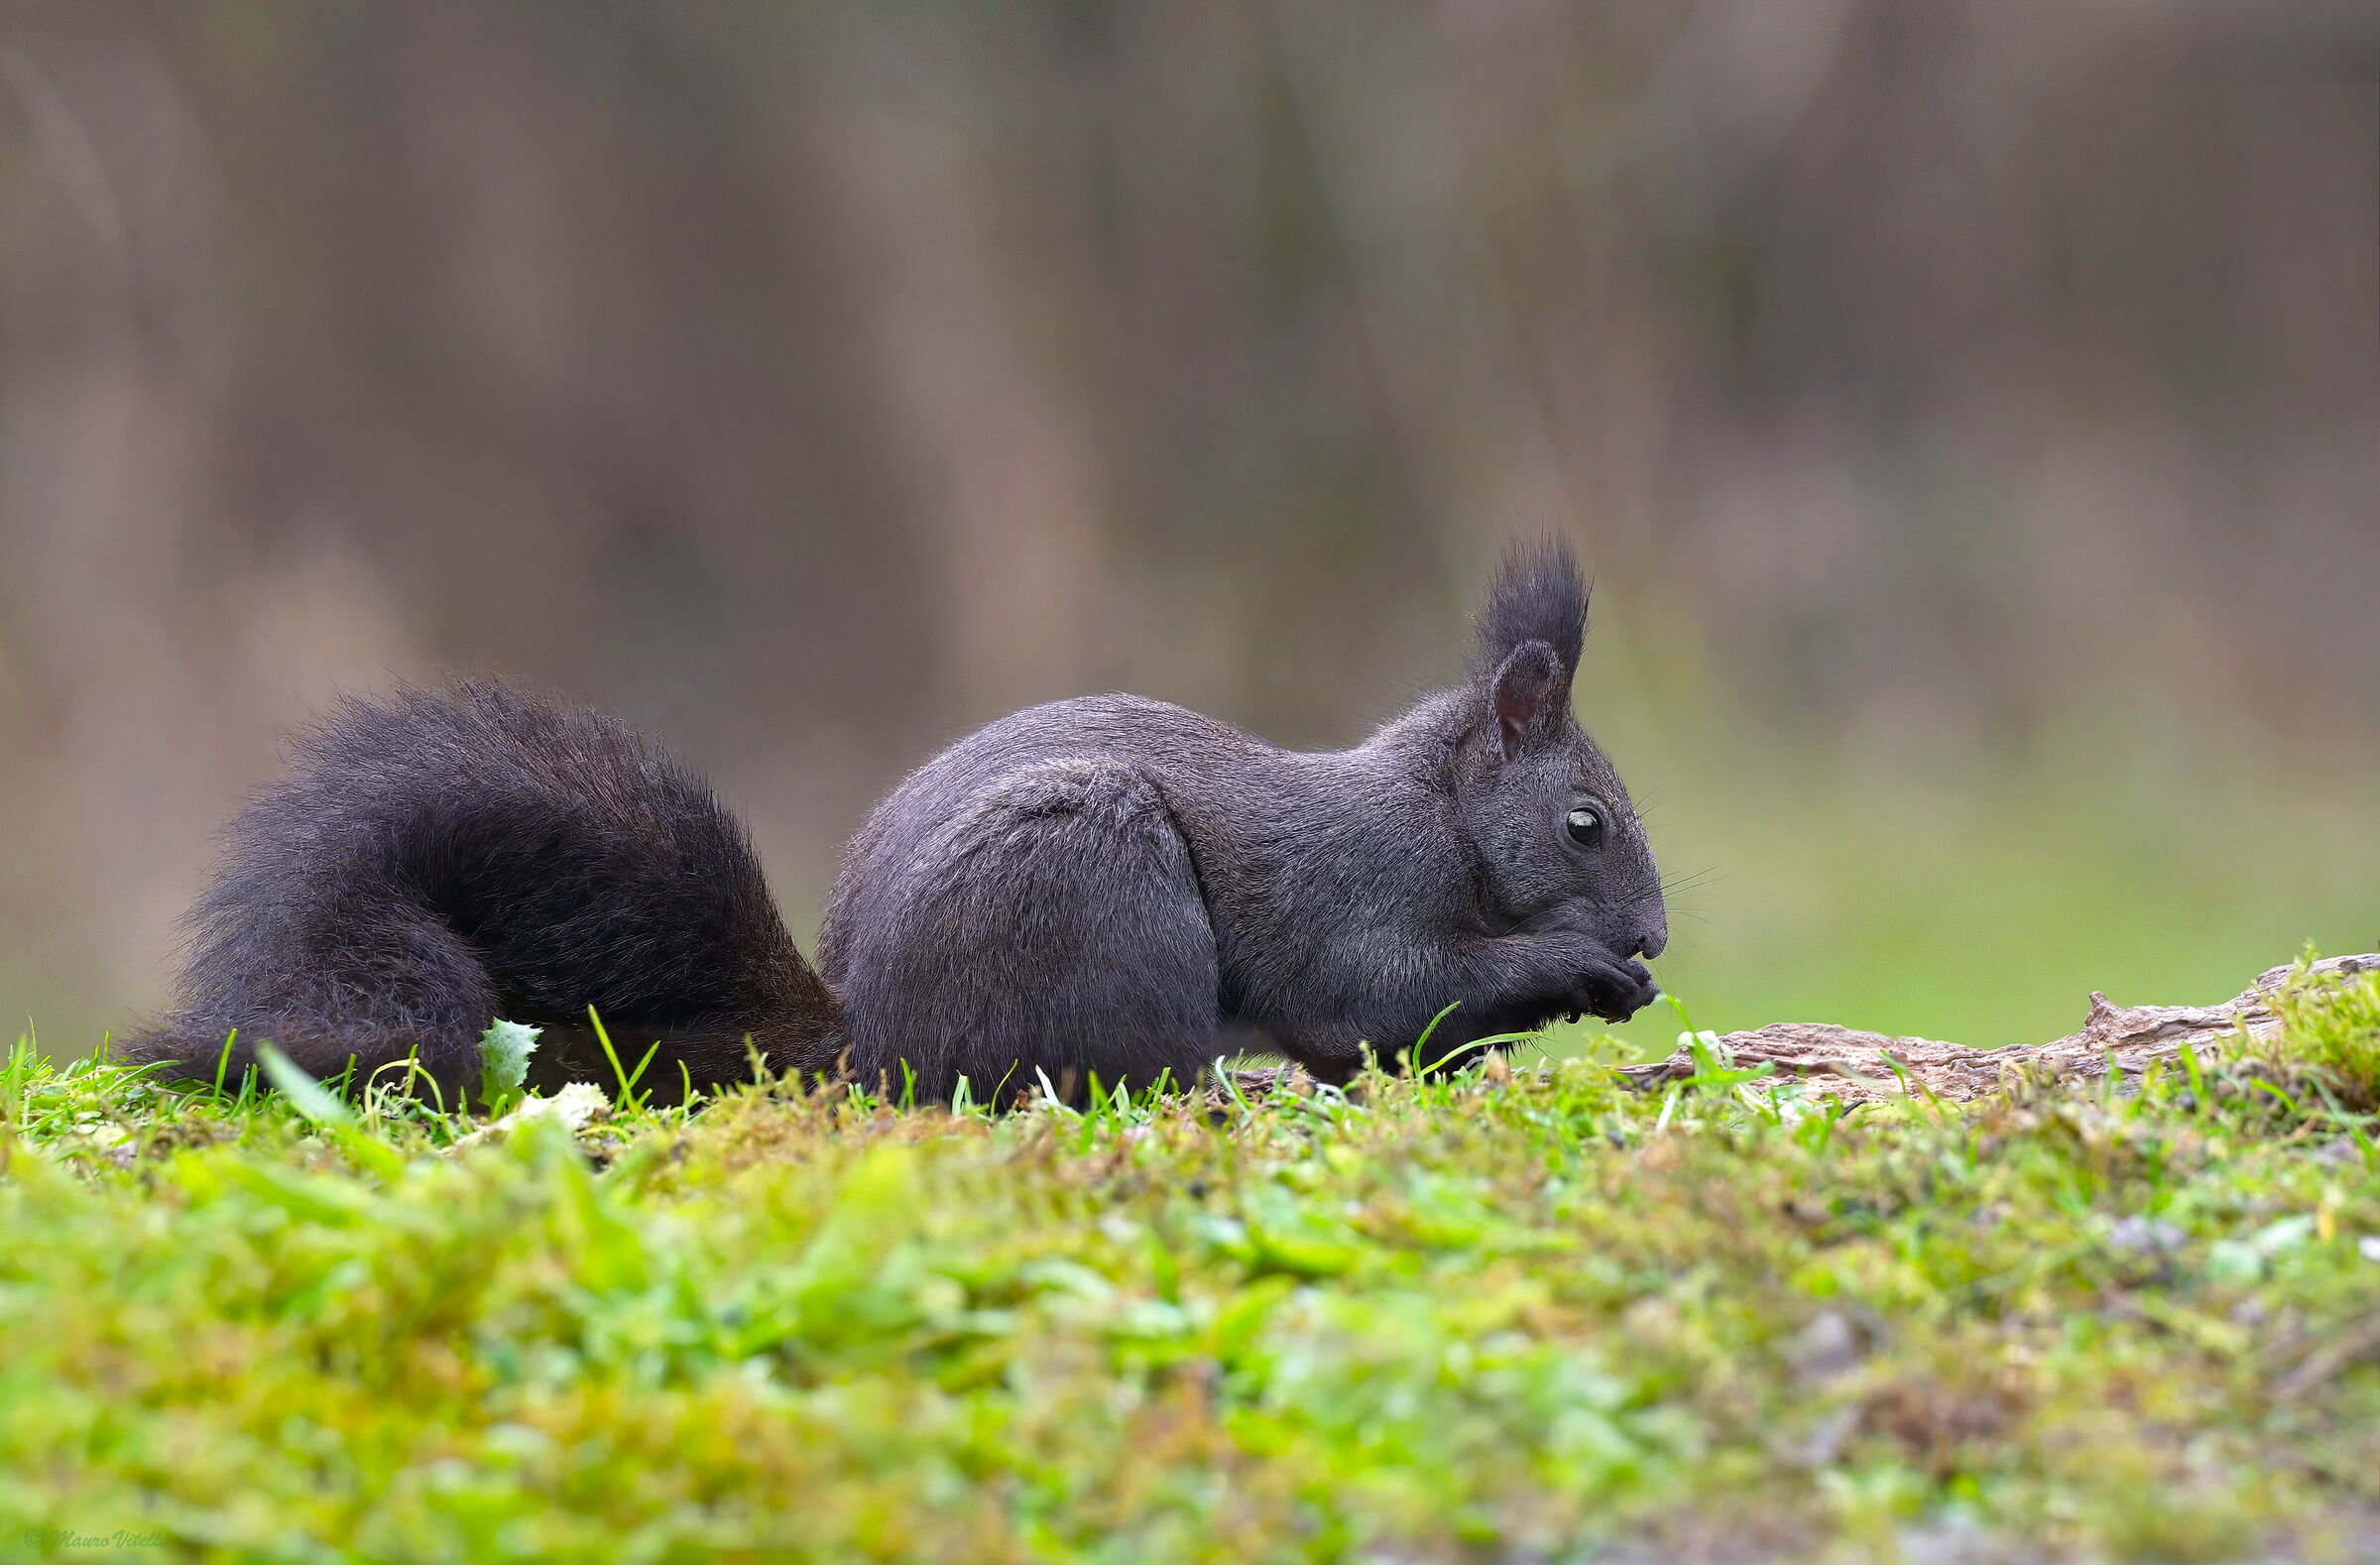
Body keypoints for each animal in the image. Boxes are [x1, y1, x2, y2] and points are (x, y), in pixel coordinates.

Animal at [126, 538, 1666, 1105]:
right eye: (1587, 824)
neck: (1439, 817)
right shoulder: (1352, 891)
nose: (1656, 934)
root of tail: (870, 1037)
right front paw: (1578, 972)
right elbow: (1376, 1002)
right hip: (1094, 892)